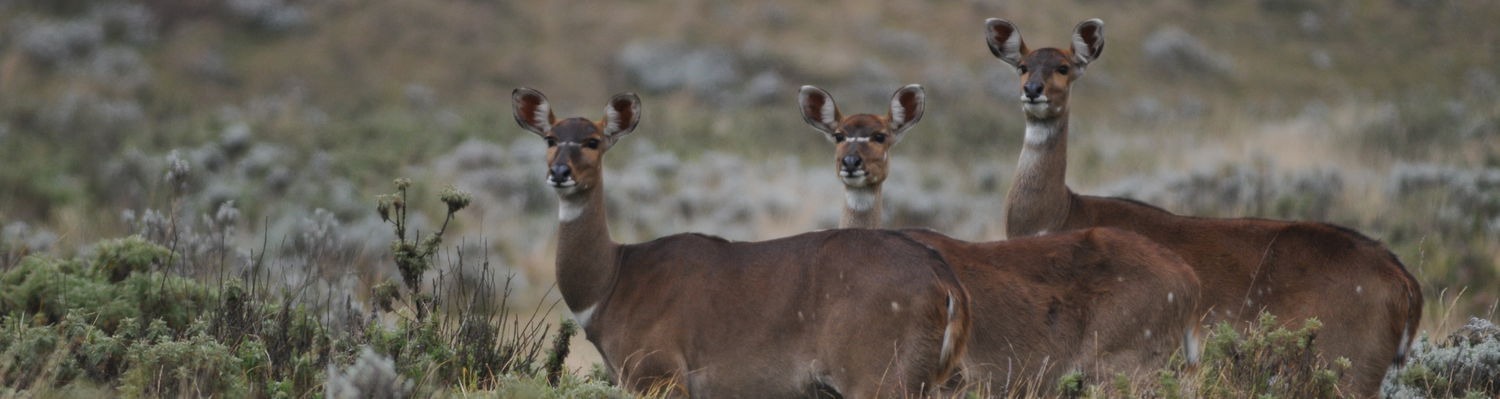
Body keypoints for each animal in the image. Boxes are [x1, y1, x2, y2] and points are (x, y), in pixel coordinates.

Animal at [516, 88, 972, 399]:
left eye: (592, 141)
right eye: (550, 139)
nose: (560, 172)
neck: (613, 284)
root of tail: (947, 284)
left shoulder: (659, 371)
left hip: (880, 376)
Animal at [798, 85, 1206, 393]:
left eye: (881, 135)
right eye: (838, 135)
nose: (851, 162)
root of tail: (1188, 282)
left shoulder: (955, 378)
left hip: (1128, 360)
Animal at [990, 17, 1422, 393]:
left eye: (1063, 67)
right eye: (1023, 66)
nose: (1033, 89)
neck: (1059, 214)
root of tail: (1406, 285)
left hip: (1347, 360)